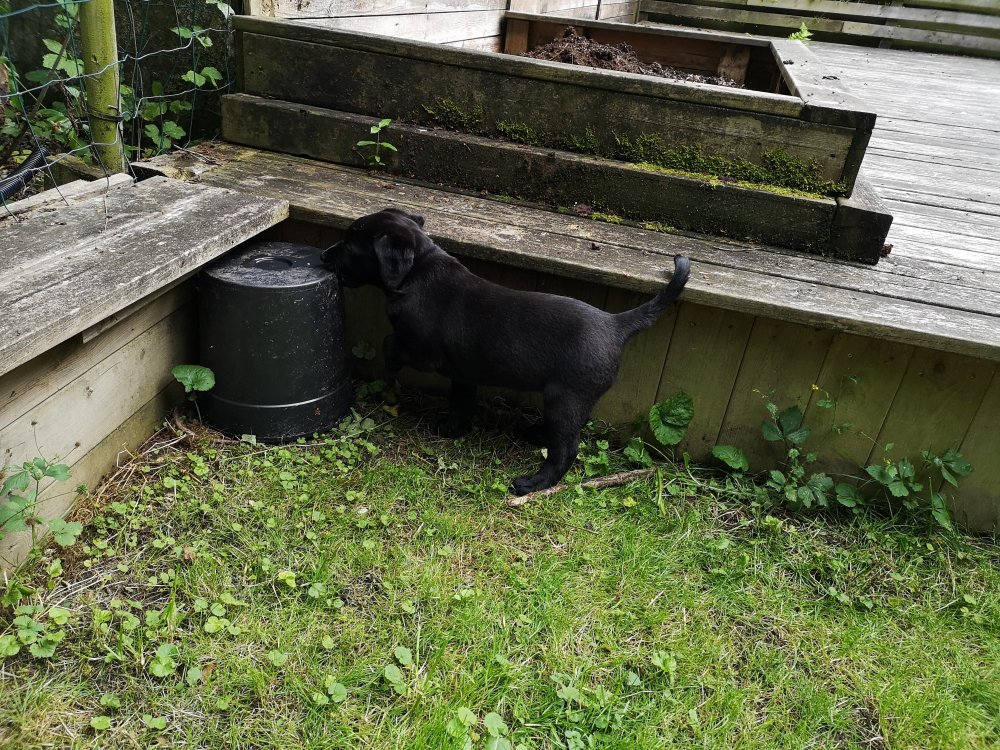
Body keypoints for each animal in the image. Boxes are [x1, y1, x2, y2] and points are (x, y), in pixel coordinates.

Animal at [322, 208, 690, 495]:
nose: (324, 255)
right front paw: (453, 429)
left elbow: (391, 342)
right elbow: (461, 401)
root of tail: (616, 323)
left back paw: (534, 483)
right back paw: (536, 434)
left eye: (350, 245)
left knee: (566, 448)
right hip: (573, 399)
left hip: (565, 396)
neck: (418, 271)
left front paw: (390, 365)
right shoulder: (463, 371)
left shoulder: (425, 352)